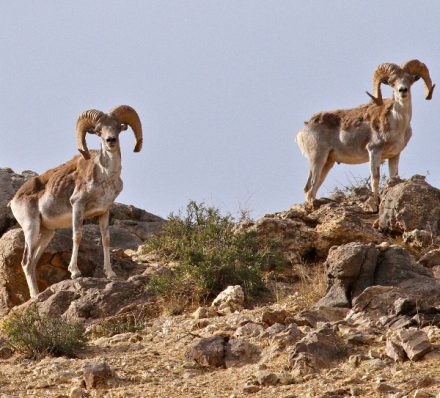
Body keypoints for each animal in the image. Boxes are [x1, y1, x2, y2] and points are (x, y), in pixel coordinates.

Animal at [9, 104, 143, 296]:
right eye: (98, 130)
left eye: (118, 127)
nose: (110, 140)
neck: (106, 177)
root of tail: (15, 199)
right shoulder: (77, 206)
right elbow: (77, 235)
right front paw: (75, 273)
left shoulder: (104, 212)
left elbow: (106, 239)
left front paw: (110, 273)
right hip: (31, 228)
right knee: (26, 262)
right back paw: (35, 296)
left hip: (47, 233)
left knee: (33, 262)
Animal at [296, 59, 434, 205]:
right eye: (392, 82)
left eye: (409, 79)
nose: (402, 90)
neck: (397, 122)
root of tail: (303, 131)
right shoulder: (374, 151)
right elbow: (375, 177)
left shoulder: (394, 155)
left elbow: (393, 176)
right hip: (317, 158)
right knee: (309, 187)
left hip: (328, 163)